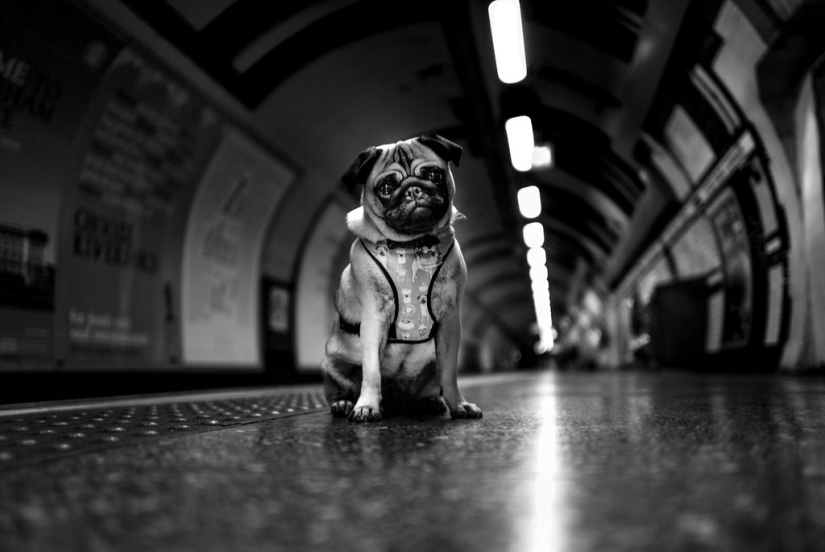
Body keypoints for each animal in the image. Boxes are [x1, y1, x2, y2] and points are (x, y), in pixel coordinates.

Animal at [318, 134, 480, 422]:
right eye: (386, 187)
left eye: (433, 175)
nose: (413, 190)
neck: (414, 245)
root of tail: (398, 403)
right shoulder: (374, 320)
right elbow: (372, 372)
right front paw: (366, 406)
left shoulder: (450, 325)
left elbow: (450, 375)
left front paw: (459, 405)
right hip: (332, 362)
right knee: (340, 390)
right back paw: (345, 404)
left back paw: (431, 402)